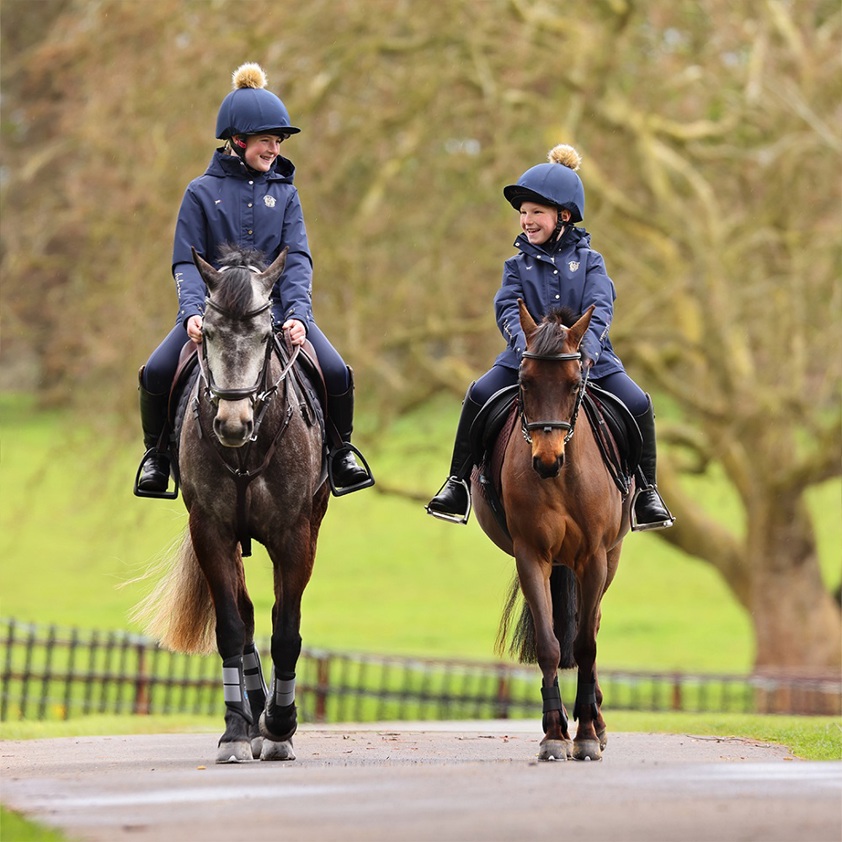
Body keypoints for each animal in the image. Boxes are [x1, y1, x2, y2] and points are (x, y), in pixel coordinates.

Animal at [132, 243, 328, 760]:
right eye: (210, 332)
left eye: (264, 335)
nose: (233, 423)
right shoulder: (212, 531)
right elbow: (232, 630)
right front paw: (238, 730)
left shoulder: (294, 536)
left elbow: (287, 629)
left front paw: (281, 726)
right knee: (245, 617)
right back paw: (253, 718)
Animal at [472, 298, 632, 756]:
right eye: (524, 382)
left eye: (574, 384)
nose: (546, 460)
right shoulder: (532, 555)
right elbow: (550, 644)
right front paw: (555, 734)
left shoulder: (594, 557)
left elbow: (585, 644)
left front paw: (586, 735)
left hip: (610, 558)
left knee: (591, 627)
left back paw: (596, 721)